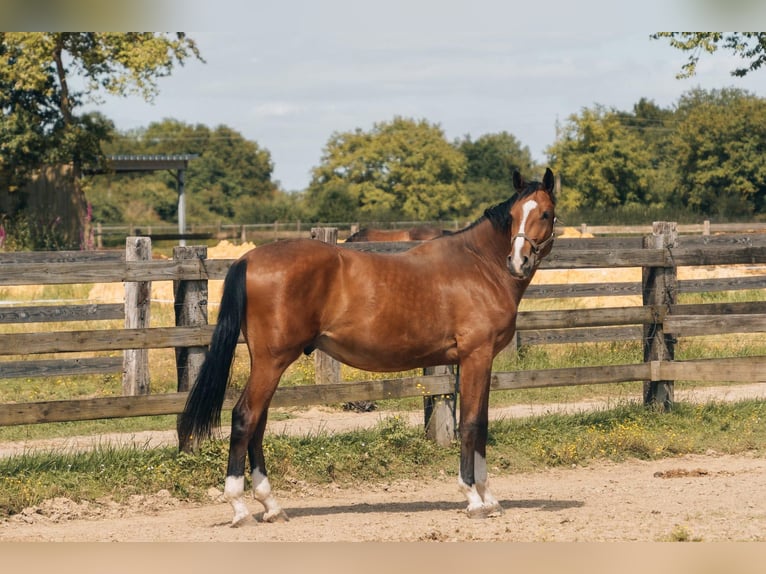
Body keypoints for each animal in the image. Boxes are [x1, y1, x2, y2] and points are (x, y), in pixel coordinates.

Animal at [180, 166, 560, 528]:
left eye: (544, 213)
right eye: (513, 215)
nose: (518, 261)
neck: (479, 266)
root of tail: (249, 259)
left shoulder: (482, 360)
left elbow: (481, 423)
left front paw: (489, 497)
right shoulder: (474, 357)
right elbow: (470, 425)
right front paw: (474, 499)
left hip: (270, 364)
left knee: (258, 422)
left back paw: (272, 507)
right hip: (270, 361)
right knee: (245, 417)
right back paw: (240, 508)